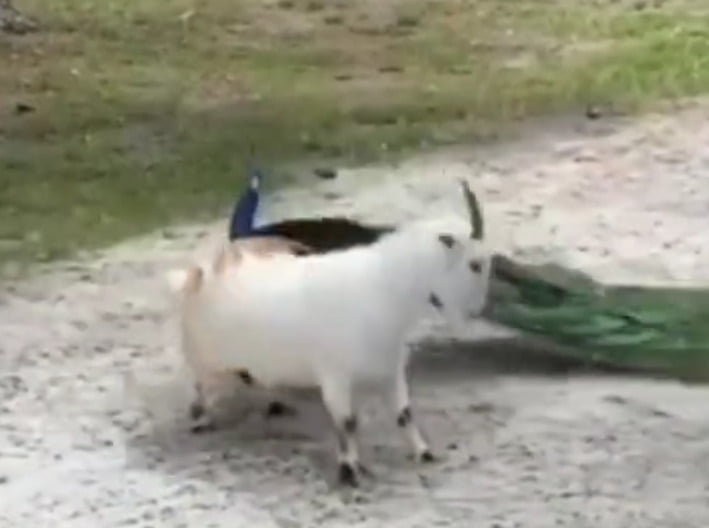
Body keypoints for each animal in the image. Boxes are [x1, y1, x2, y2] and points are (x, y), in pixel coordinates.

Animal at [165, 180, 491, 487]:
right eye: (475, 264)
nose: (477, 310)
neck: (382, 286)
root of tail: (199, 273)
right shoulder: (335, 377)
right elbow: (347, 423)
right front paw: (349, 472)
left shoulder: (390, 368)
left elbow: (404, 414)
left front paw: (424, 453)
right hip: (203, 357)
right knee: (201, 386)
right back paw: (201, 418)